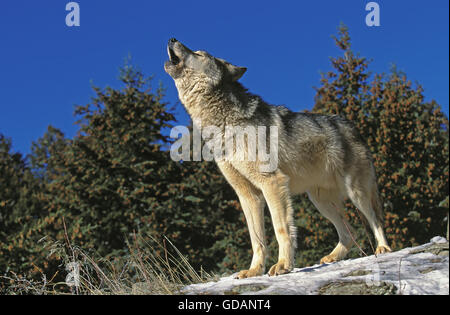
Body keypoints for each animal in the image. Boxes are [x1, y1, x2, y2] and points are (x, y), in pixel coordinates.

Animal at [163, 39, 392, 278]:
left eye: (199, 54)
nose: (172, 39)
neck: (223, 123)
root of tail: (353, 127)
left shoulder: (272, 183)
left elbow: (281, 229)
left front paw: (283, 265)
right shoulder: (248, 195)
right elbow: (256, 239)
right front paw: (254, 271)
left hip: (356, 193)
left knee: (375, 219)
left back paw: (383, 248)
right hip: (320, 201)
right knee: (350, 232)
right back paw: (333, 257)